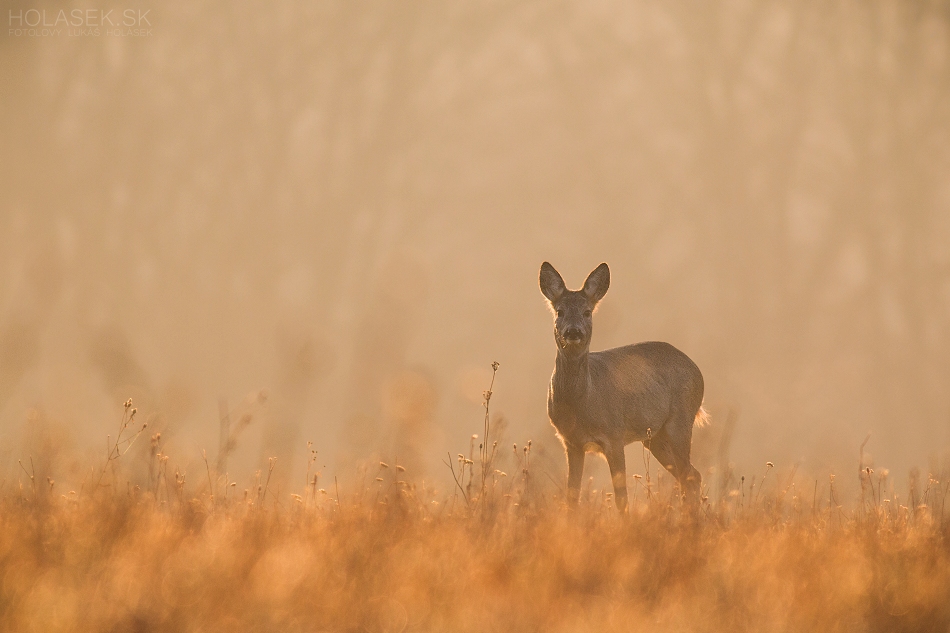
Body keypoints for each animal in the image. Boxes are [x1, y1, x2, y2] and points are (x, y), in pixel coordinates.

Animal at [540, 262, 712, 512]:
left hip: (680, 421)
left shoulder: (614, 435)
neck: (583, 401)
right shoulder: (571, 442)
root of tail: (696, 368)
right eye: (559, 311)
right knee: (691, 475)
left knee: (689, 475)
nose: (573, 331)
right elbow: (572, 497)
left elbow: (621, 497)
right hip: (654, 437)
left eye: (587, 312)